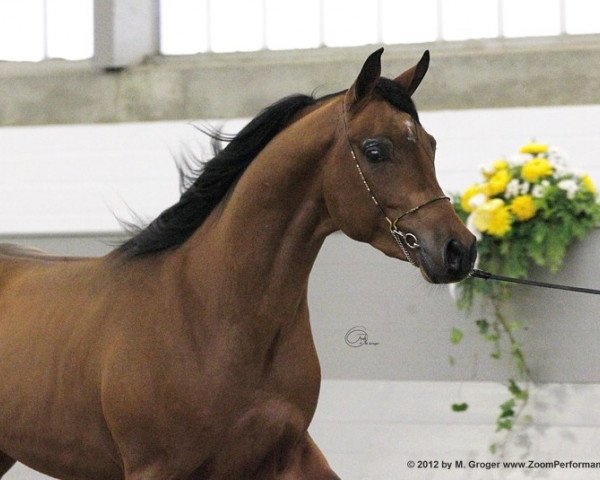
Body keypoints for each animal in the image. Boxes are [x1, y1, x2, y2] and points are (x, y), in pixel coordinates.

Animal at [1, 49, 478, 480]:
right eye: (376, 150)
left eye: (432, 145)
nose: (460, 249)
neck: (211, 316)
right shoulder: (154, 468)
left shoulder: (287, 453)